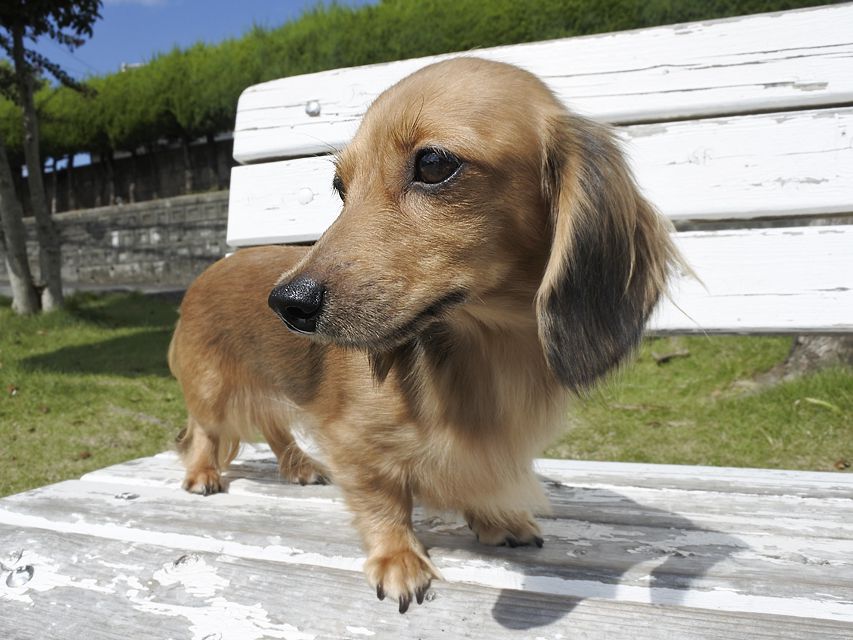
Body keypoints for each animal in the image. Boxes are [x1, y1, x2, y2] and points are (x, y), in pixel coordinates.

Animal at [169, 57, 682, 613]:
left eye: (433, 164)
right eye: (341, 186)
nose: (287, 304)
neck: (486, 348)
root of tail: (206, 273)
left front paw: (495, 520)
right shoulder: (352, 440)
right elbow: (382, 498)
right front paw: (398, 558)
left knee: (274, 426)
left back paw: (298, 466)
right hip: (211, 389)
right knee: (206, 431)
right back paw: (203, 473)